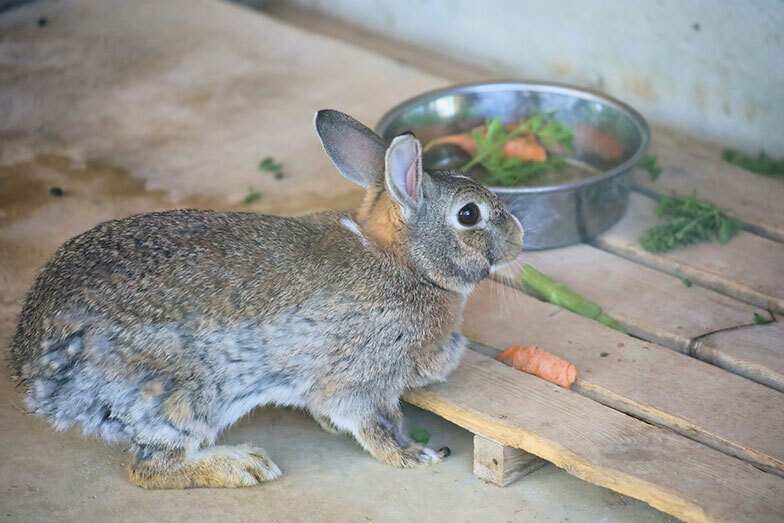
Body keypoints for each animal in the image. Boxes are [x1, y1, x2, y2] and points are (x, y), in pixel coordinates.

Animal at [9, 108, 524, 490]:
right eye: (469, 215)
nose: (519, 238)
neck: (404, 262)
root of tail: (34, 370)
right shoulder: (362, 377)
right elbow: (373, 422)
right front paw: (412, 455)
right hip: (181, 399)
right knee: (148, 469)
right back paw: (243, 464)